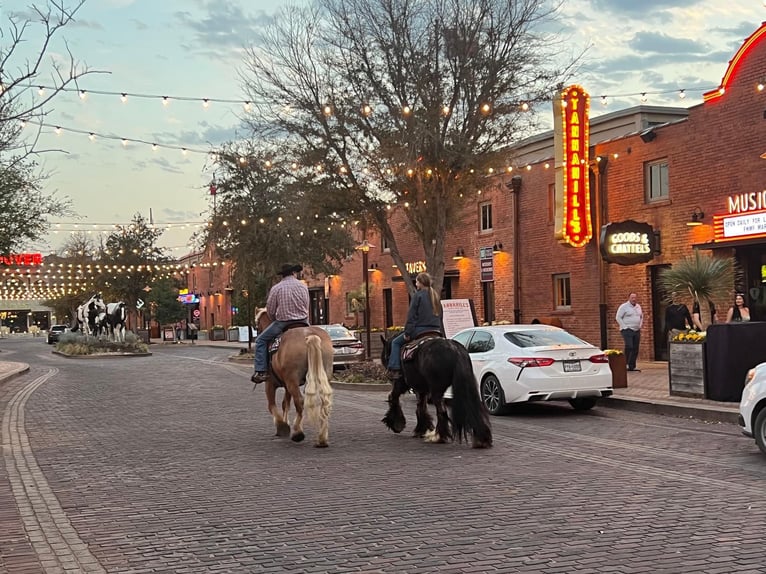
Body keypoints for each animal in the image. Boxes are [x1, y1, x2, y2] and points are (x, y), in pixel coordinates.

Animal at [255, 310, 336, 450]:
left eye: (257, 324)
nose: (257, 333)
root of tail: (310, 335)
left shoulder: (270, 383)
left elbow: (272, 405)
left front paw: (282, 426)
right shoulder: (287, 385)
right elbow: (285, 404)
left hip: (292, 381)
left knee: (300, 401)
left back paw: (298, 432)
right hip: (323, 375)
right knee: (324, 402)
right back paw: (321, 439)